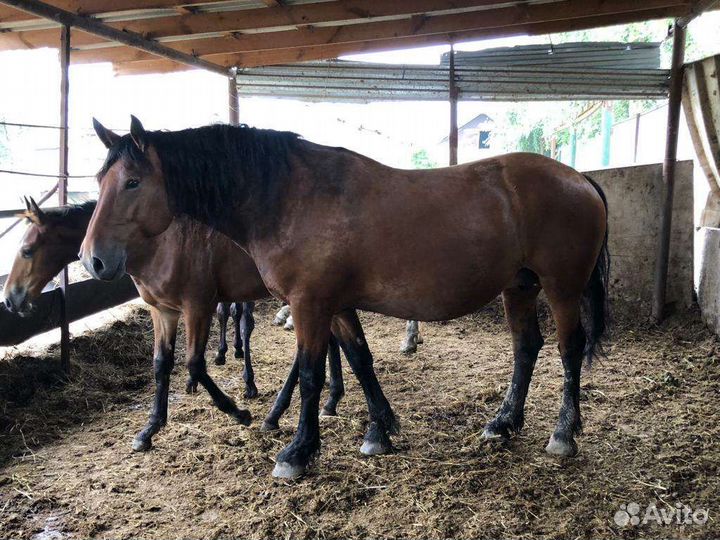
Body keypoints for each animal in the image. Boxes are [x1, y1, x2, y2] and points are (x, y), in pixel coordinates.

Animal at [5, 196, 396, 454]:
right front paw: (149, 430)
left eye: (26, 250)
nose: (10, 299)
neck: (159, 244)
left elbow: (195, 362)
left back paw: (283, 412)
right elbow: (161, 365)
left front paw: (238, 411)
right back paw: (326, 402)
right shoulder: (163, 311)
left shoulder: (197, 306)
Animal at [81, 117, 609, 479]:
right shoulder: (334, 305)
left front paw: (297, 451)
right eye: (100, 181)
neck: (288, 197)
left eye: (133, 182)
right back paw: (503, 423)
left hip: (561, 287)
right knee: (525, 348)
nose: (92, 260)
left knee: (568, 349)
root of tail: (578, 178)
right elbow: (358, 359)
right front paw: (379, 432)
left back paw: (563, 433)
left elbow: (312, 376)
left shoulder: (310, 304)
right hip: (518, 286)